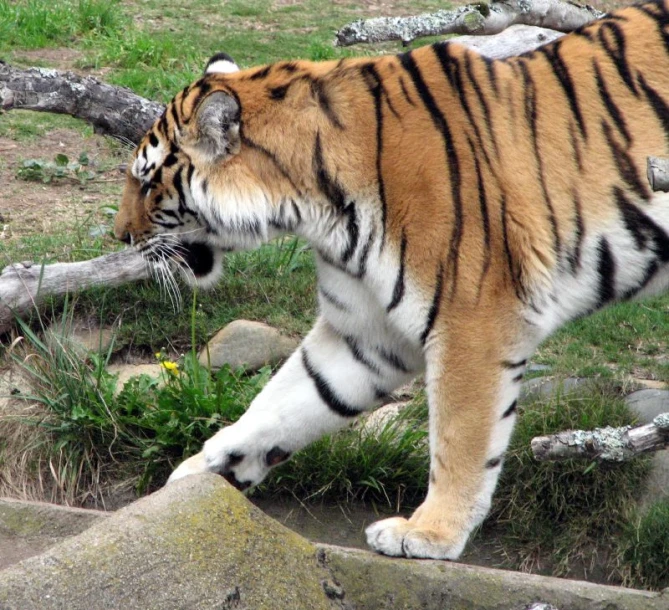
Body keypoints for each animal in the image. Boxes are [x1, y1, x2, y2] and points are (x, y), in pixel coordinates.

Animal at [112, 2, 668, 560]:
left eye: (147, 180)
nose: (120, 236)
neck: (316, 206)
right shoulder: (365, 333)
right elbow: (283, 401)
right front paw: (200, 473)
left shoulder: (474, 321)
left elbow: (460, 437)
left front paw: (429, 533)